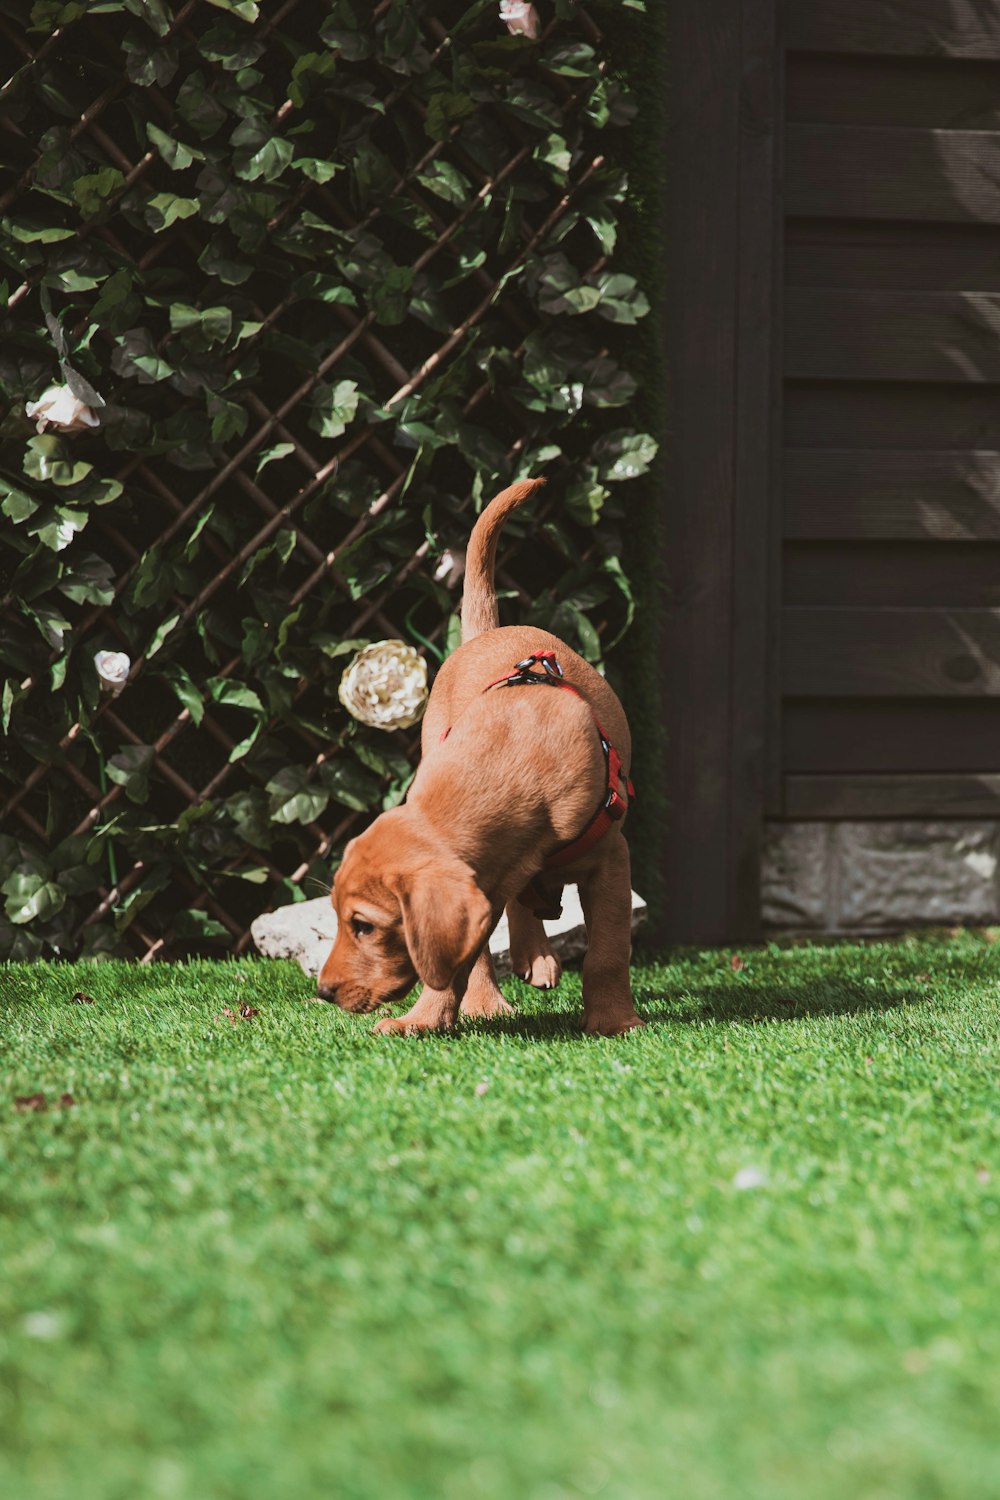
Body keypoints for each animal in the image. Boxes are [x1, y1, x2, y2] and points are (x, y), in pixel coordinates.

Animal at [322, 477, 650, 1032]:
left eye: (362, 925)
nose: (322, 993)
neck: (511, 755)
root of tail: (488, 632)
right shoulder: (483, 881)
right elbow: (461, 955)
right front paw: (428, 1019)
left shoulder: (610, 861)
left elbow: (607, 953)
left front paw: (613, 1021)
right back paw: (513, 974)